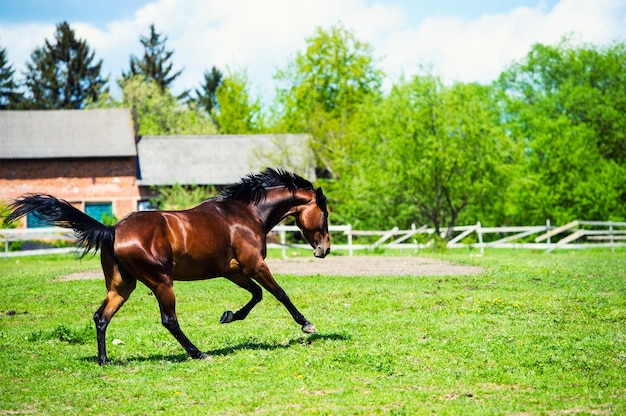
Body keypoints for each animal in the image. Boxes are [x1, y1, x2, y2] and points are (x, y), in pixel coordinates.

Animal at [4, 169, 330, 364]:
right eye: (325, 213)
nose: (324, 250)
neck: (247, 214)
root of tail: (112, 230)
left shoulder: (234, 271)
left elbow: (257, 295)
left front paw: (228, 316)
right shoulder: (254, 265)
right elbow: (279, 293)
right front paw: (307, 325)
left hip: (122, 286)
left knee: (101, 317)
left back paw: (104, 360)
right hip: (161, 282)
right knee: (169, 320)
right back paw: (199, 353)